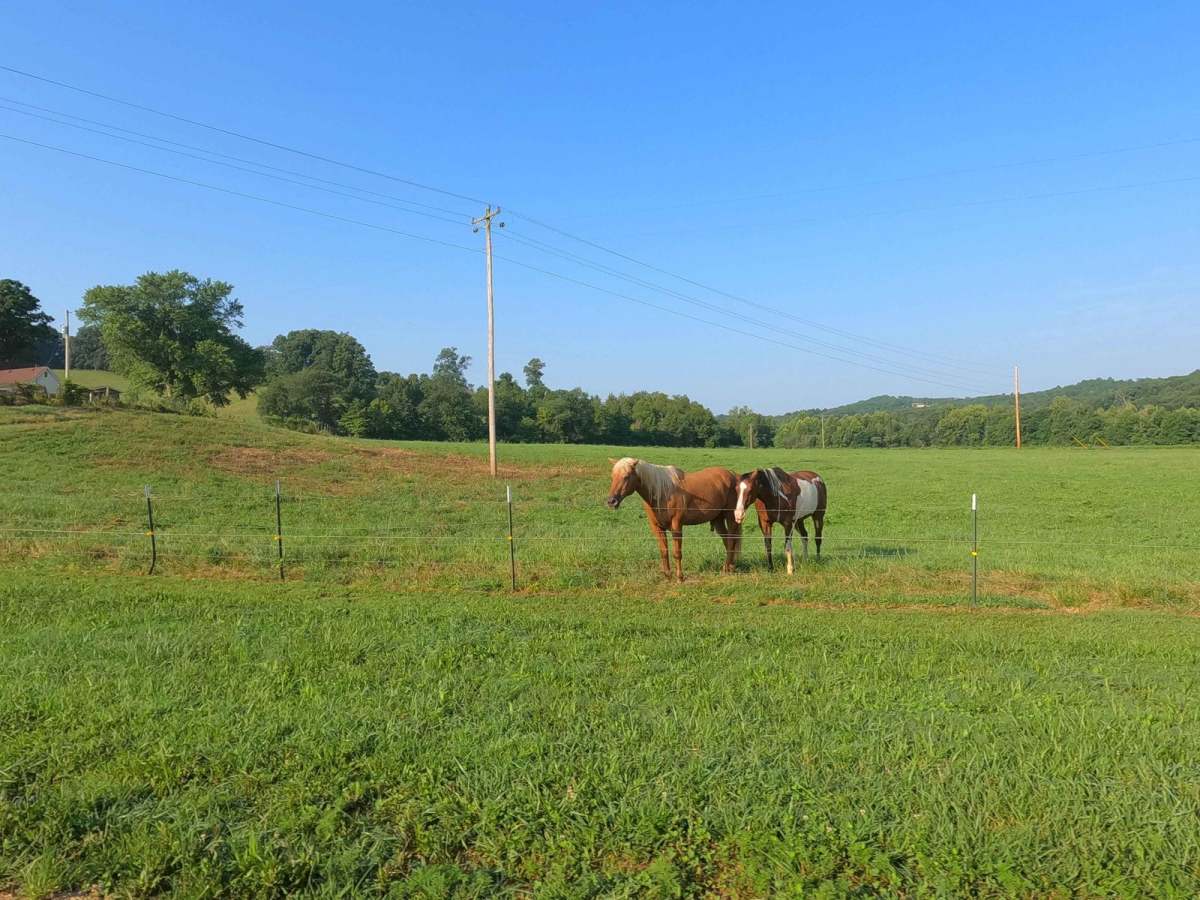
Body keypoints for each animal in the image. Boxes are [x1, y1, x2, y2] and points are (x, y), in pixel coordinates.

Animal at [606, 457, 742, 581]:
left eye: (626, 476)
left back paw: (727, 569)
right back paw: (730, 567)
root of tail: (734, 475)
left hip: (731, 517)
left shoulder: (676, 525)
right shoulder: (657, 527)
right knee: (727, 540)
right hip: (718, 519)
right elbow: (663, 551)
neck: (662, 492)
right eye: (612, 476)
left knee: (731, 541)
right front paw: (667, 575)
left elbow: (677, 553)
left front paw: (680, 577)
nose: (611, 501)